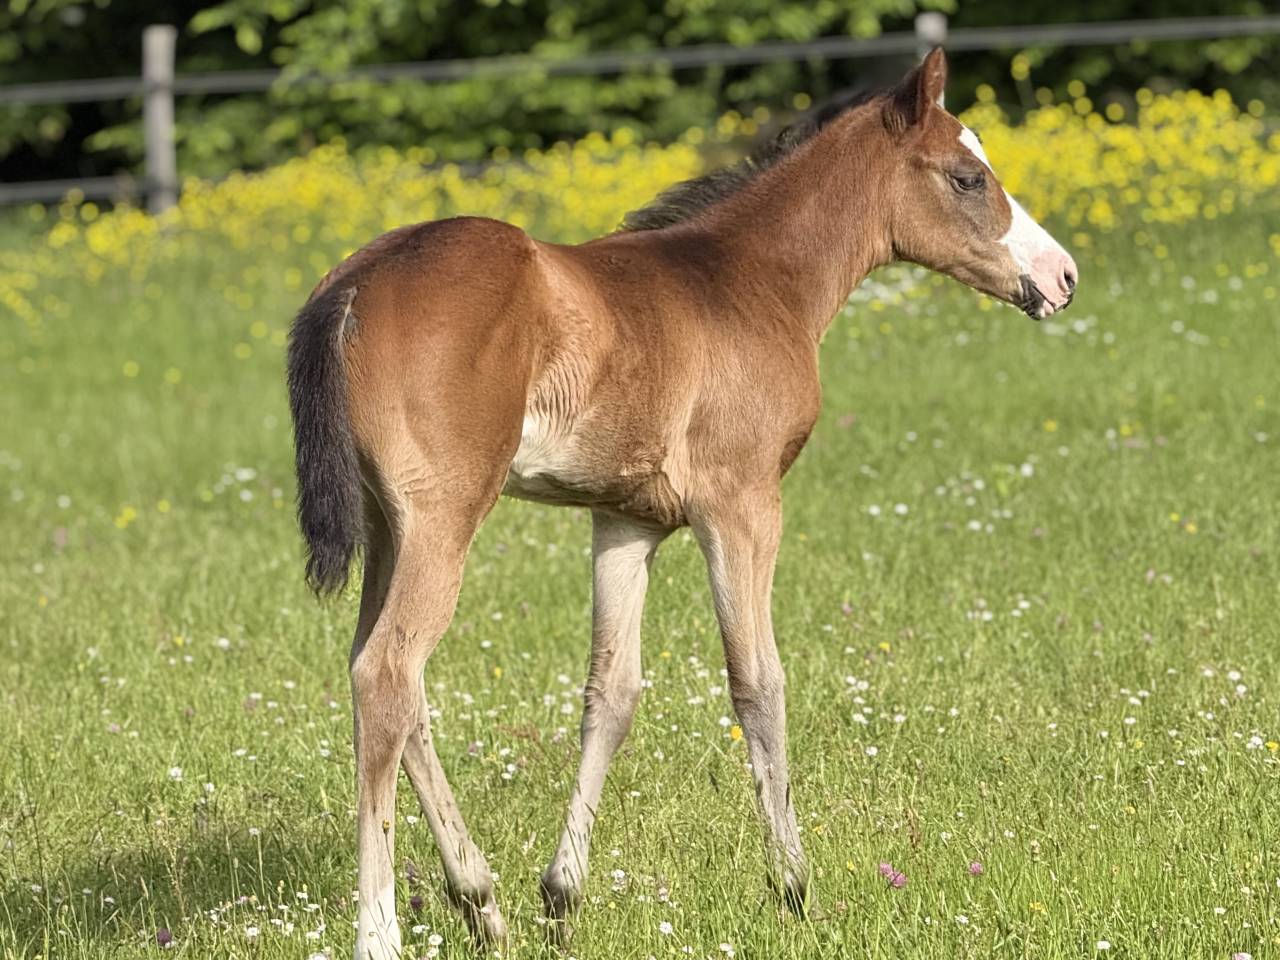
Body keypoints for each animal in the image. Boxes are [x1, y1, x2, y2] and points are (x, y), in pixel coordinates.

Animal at [286, 47, 1076, 959]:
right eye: (966, 176)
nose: (1062, 276)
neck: (750, 281)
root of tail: (352, 281)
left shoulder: (626, 520)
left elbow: (612, 693)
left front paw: (562, 896)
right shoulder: (742, 502)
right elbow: (758, 683)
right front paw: (793, 888)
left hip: (390, 524)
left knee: (389, 679)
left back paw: (481, 900)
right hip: (444, 515)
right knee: (389, 673)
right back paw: (381, 930)